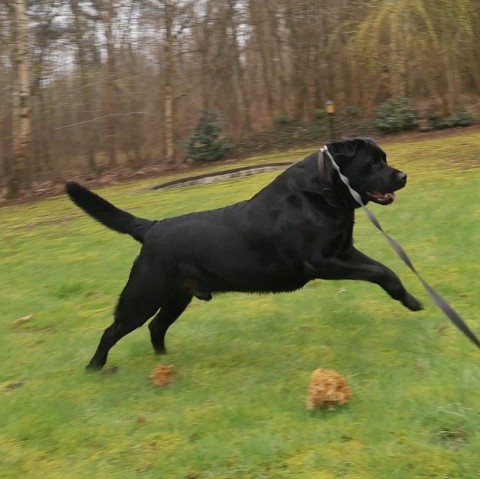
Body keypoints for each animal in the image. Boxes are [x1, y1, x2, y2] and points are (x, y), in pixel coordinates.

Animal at [66, 138, 420, 372]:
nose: (403, 176)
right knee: (113, 330)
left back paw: (165, 360)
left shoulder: (344, 250)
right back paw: (95, 368)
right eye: (372, 163)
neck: (324, 190)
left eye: (384, 158)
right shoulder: (321, 262)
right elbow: (377, 272)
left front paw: (409, 298)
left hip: (177, 297)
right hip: (143, 296)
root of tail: (152, 227)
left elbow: (386, 270)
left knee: (156, 327)